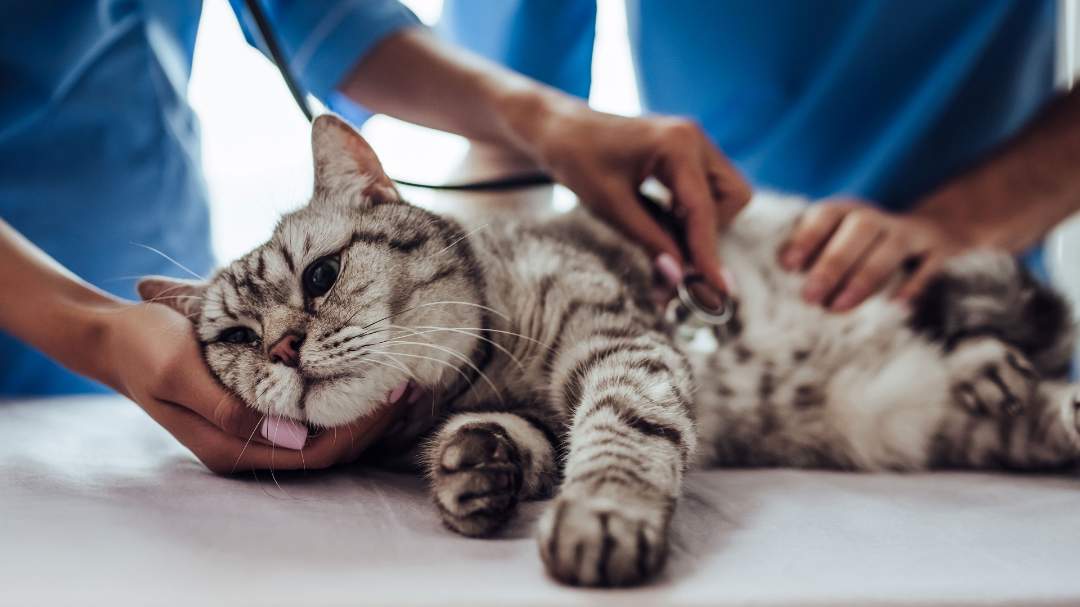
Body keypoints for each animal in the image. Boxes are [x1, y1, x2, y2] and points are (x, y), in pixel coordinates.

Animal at [139, 114, 1080, 587]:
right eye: (236, 337)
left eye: (322, 273)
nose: (283, 346)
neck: (478, 375)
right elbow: (520, 442)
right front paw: (475, 467)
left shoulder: (623, 344)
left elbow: (619, 432)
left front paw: (603, 513)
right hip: (906, 413)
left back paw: (986, 353)